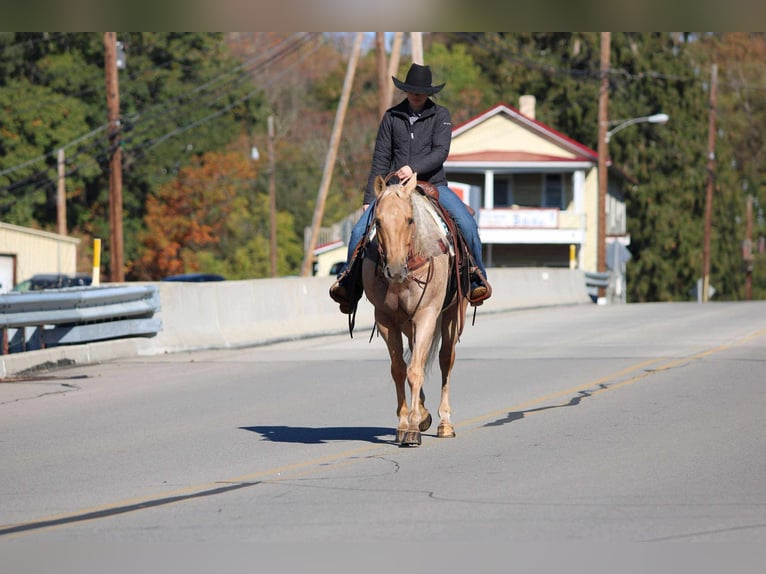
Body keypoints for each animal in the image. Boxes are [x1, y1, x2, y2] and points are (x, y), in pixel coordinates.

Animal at [362, 174, 468, 446]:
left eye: (410, 219)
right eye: (378, 221)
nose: (395, 271)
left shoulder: (427, 315)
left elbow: (415, 370)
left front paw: (412, 428)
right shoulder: (386, 320)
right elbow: (400, 369)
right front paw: (405, 423)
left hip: (451, 315)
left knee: (445, 360)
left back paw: (444, 423)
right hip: (408, 324)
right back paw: (423, 413)